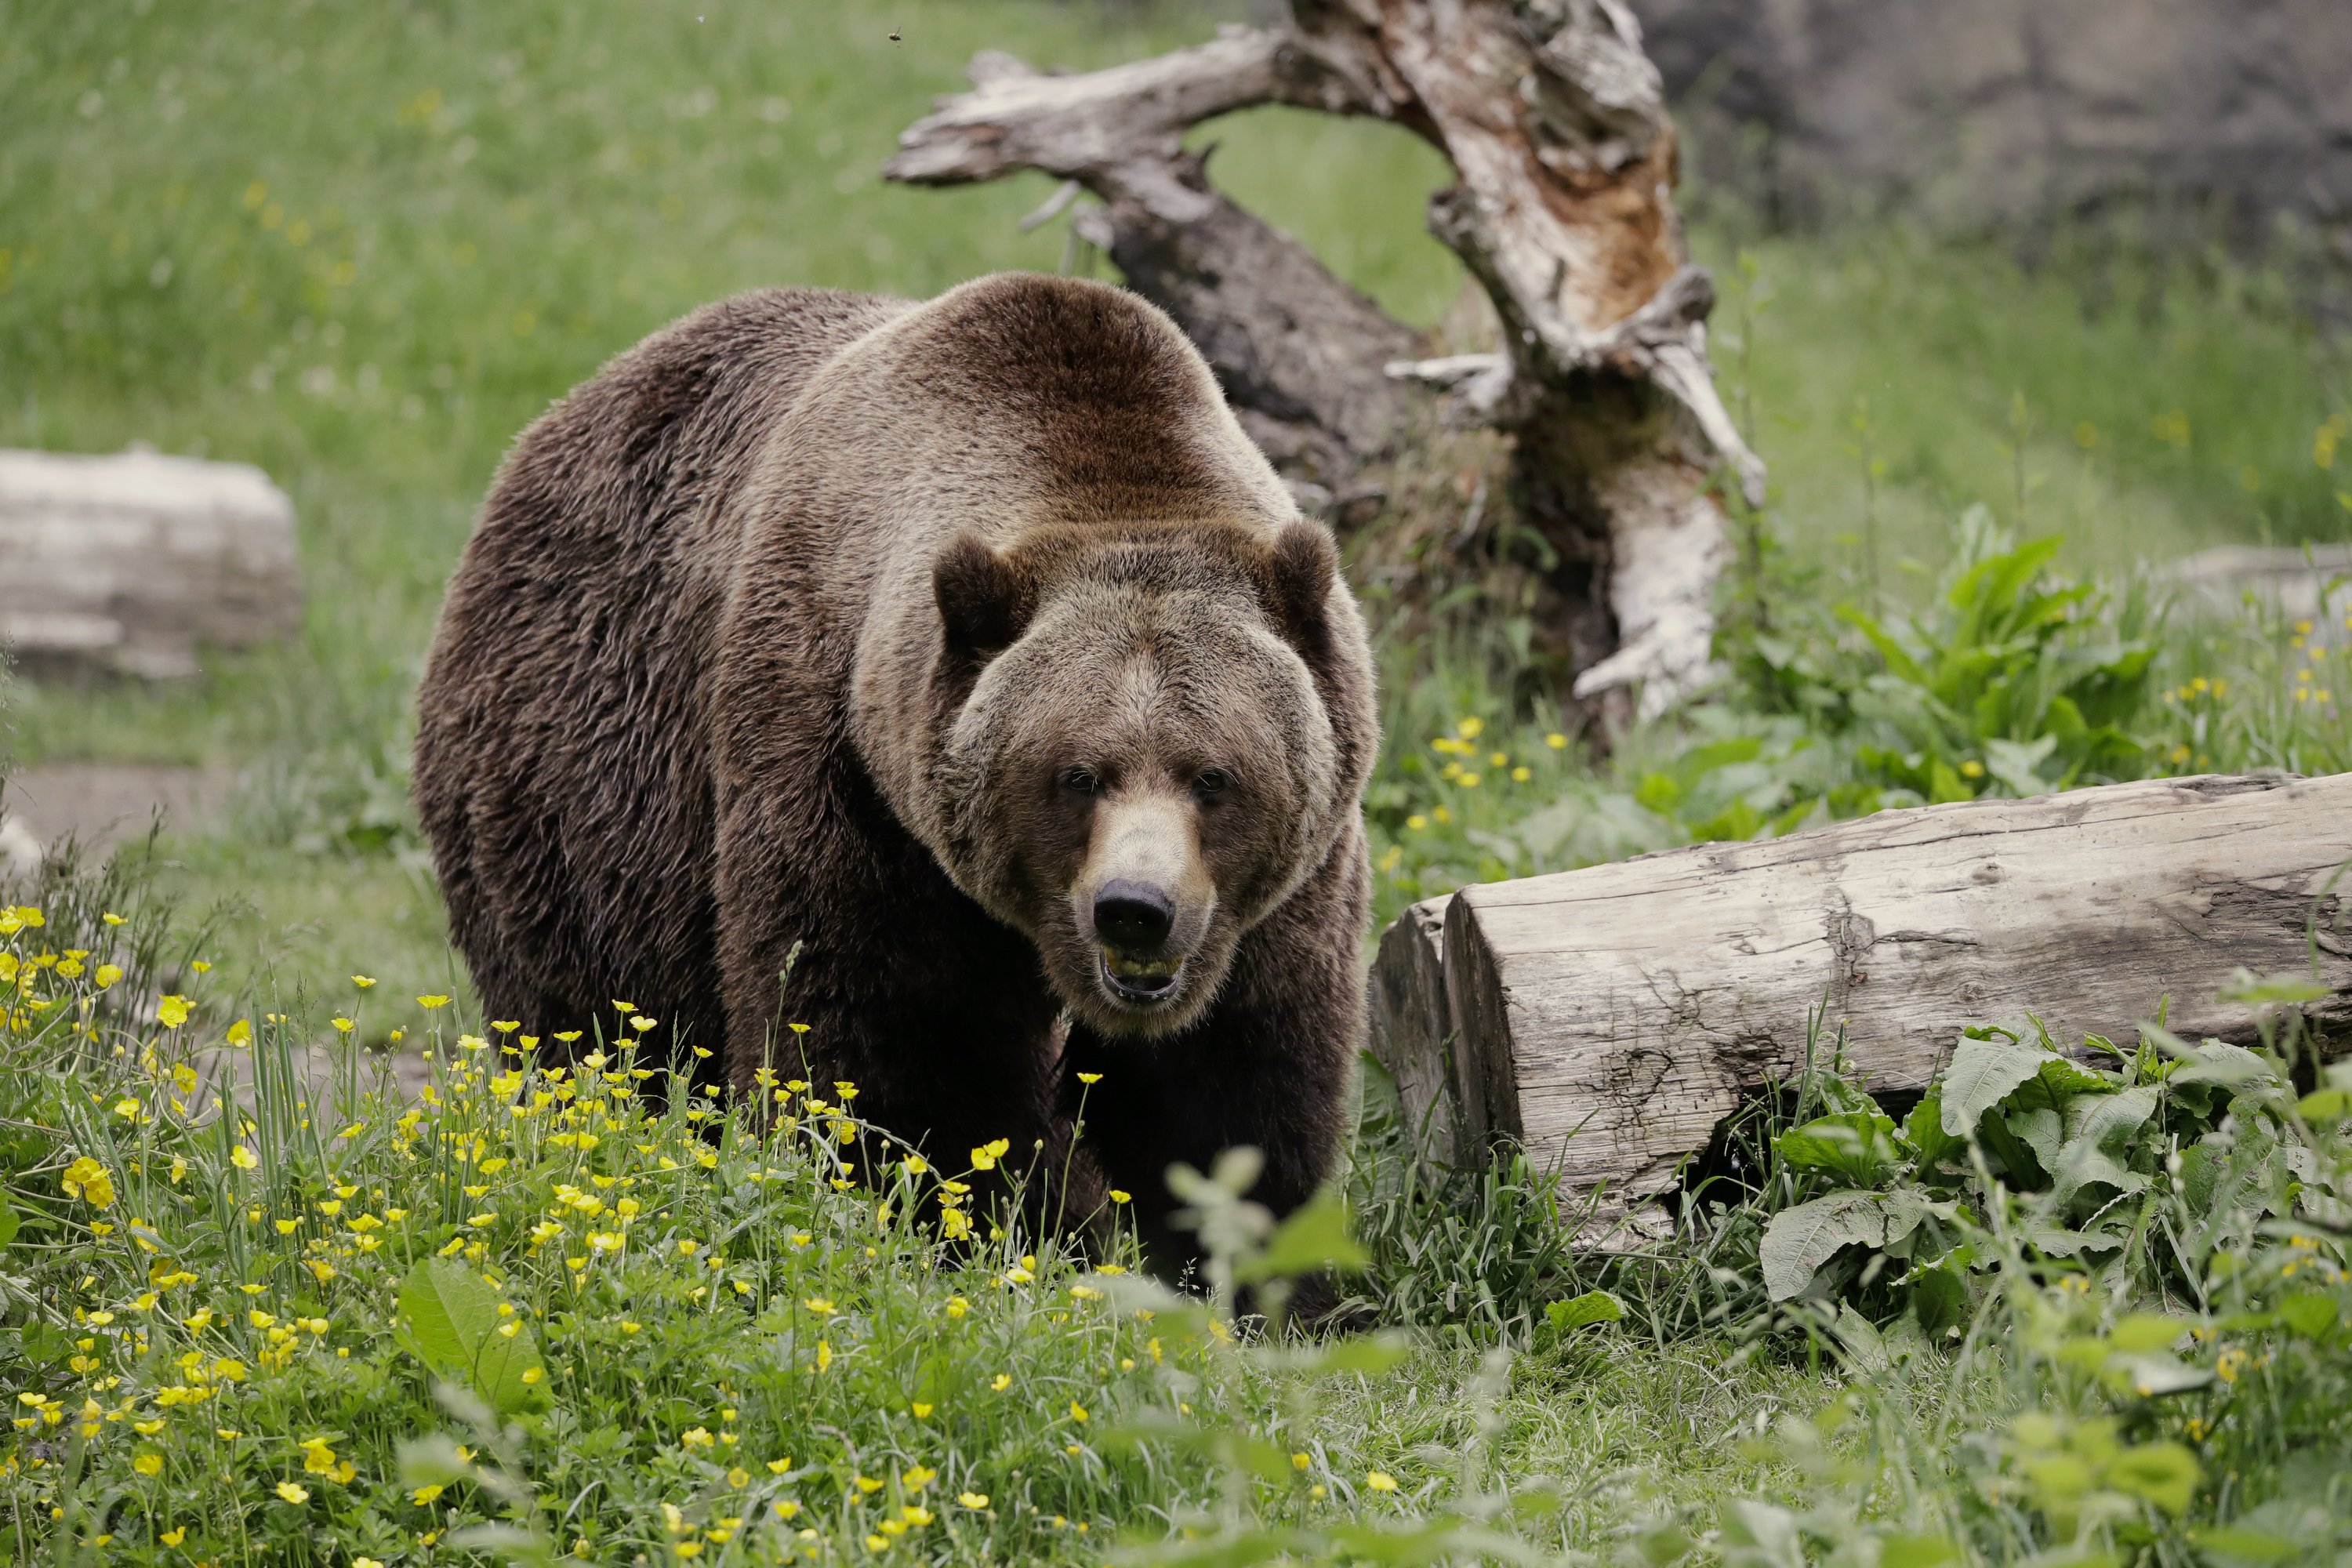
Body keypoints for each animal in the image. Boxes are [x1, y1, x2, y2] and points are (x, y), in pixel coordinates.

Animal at [414, 272, 1374, 1260]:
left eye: (1212, 775)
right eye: (1077, 773)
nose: (1135, 910)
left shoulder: (1283, 888)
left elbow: (1230, 1084)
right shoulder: (847, 769)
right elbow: (889, 1045)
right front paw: (966, 1218)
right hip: (585, 774)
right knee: (599, 1011)